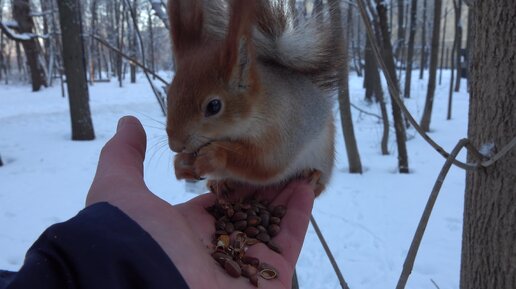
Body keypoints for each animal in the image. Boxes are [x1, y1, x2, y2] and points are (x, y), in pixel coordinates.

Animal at [165, 0, 342, 196]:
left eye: (214, 106)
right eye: (168, 96)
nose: (175, 146)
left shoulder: (283, 131)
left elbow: (263, 164)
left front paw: (215, 155)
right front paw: (181, 165)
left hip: (324, 156)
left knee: (319, 184)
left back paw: (313, 176)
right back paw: (219, 183)